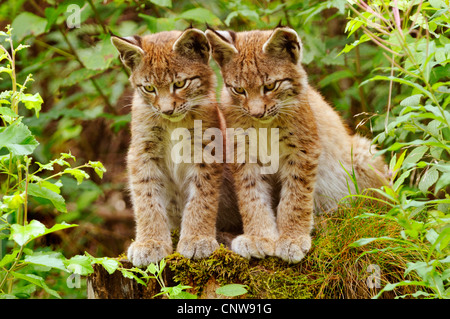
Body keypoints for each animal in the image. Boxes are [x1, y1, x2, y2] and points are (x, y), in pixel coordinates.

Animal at [206, 26, 384, 264]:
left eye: (270, 86)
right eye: (239, 90)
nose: (257, 113)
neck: (265, 125)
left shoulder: (302, 150)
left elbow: (295, 196)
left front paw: (292, 238)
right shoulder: (244, 153)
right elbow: (251, 196)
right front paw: (258, 237)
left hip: (362, 151)